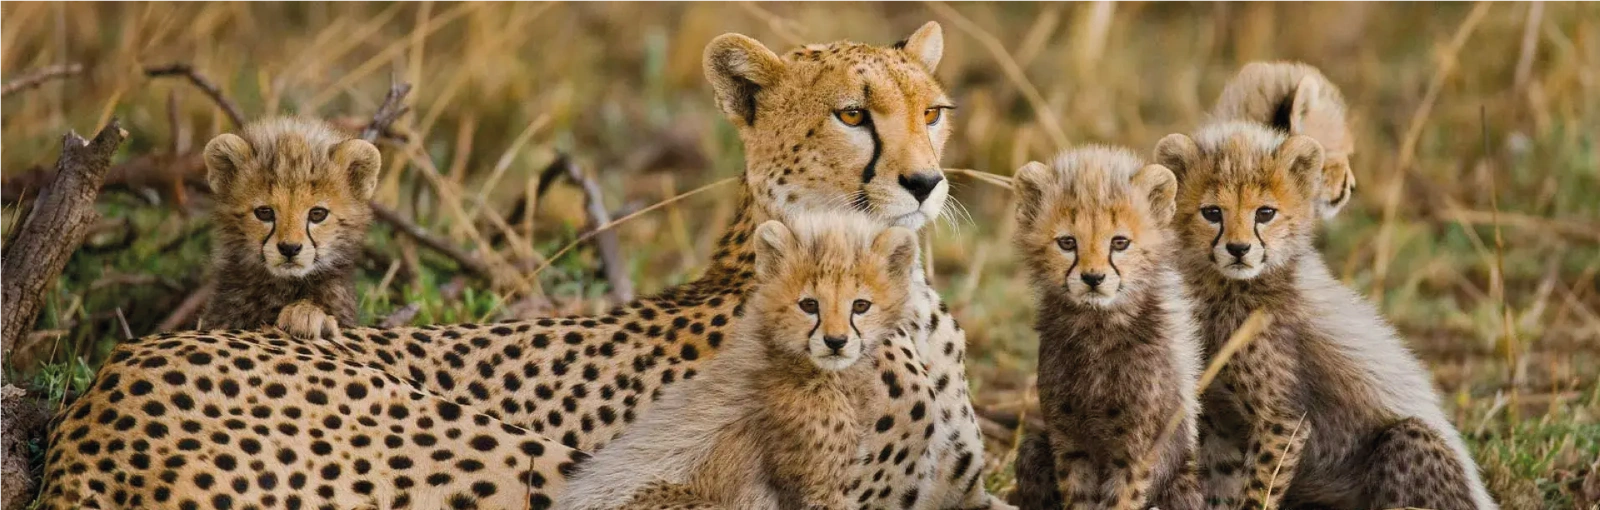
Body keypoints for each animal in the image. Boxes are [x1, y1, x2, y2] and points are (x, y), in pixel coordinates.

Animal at [1005, 147, 1205, 510]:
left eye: (1120, 242)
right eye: (1067, 242)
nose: (1093, 278)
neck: (1098, 328)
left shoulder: (1138, 447)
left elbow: (1124, 496)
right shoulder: (1068, 439)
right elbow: (1077, 494)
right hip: (1031, 449)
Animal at [1152, 121, 1496, 510]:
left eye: (1264, 213)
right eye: (1212, 213)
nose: (1238, 249)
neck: (1227, 291)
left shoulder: (1283, 420)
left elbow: (1258, 489)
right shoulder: (1218, 420)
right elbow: (1222, 484)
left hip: (1406, 439)